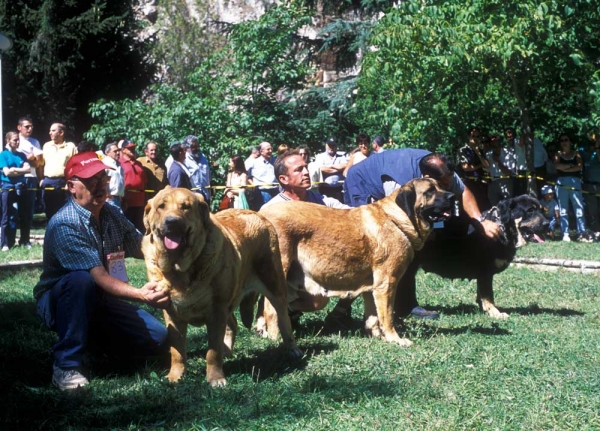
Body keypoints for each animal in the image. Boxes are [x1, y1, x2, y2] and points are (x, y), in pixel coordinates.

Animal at [143, 188, 302, 388]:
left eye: (186, 207)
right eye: (161, 206)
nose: (172, 221)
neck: (181, 269)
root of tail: (257, 213)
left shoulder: (216, 310)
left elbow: (213, 351)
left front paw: (215, 379)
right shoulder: (172, 313)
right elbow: (177, 350)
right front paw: (175, 377)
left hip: (274, 286)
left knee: (283, 320)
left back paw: (292, 349)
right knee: (232, 323)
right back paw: (227, 350)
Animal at [258, 179, 454, 348]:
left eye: (439, 186)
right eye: (430, 191)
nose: (452, 196)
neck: (396, 218)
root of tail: (261, 215)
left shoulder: (372, 287)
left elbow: (373, 317)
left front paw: (378, 337)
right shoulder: (387, 284)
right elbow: (387, 316)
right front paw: (395, 339)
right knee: (270, 308)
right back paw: (277, 339)